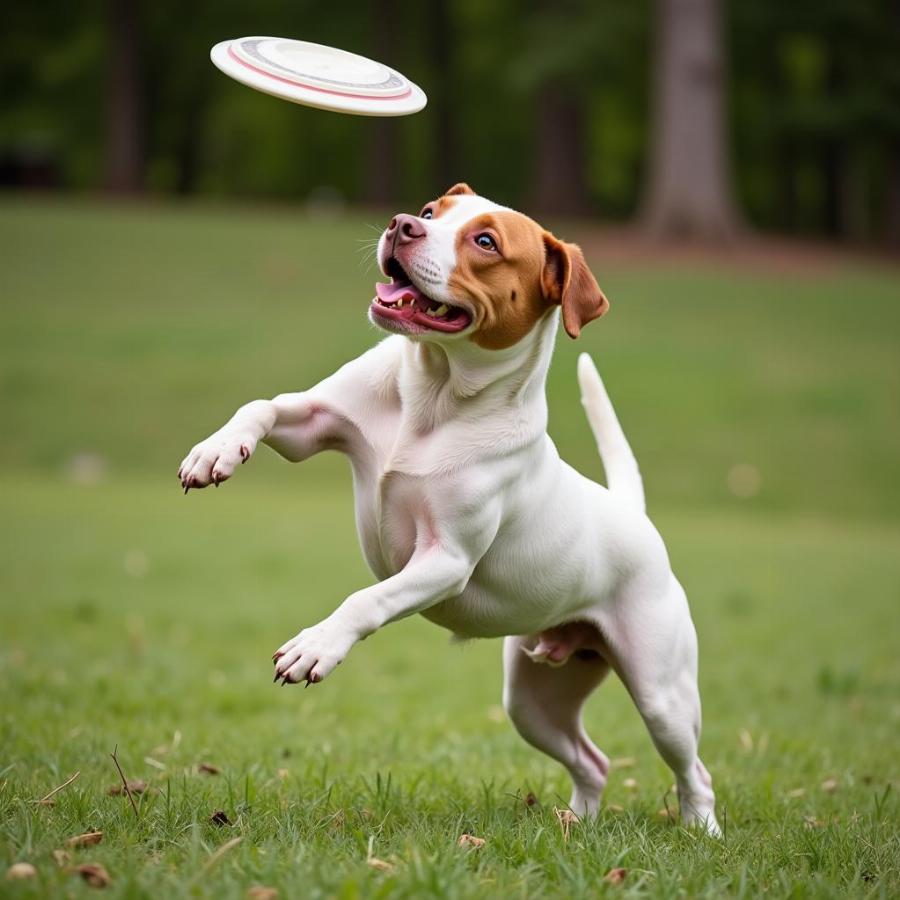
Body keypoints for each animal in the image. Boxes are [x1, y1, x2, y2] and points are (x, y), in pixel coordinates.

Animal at [179, 185, 720, 836]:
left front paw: (318, 646)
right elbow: (260, 406)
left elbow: (367, 599)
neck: (434, 395)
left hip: (662, 696)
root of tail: (631, 513)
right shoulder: (311, 422)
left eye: (485, 241)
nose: (401, 224)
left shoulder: (444, 560)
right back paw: (577, 823)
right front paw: (215, 452)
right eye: (430, 212)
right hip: (534, 700)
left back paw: (703, 833)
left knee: (694, 772)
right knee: (592, 759)